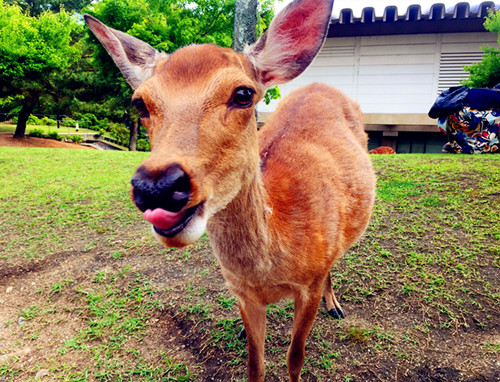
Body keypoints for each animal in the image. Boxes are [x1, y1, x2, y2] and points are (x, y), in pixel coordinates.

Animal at [86, 0, 376, 380]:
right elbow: (256, 364)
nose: (157, 186)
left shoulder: (309, 284)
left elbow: (295, 357)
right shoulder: (241, 293)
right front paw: (246, 338)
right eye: (140, 103)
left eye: (243, 94)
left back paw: (336, 306)